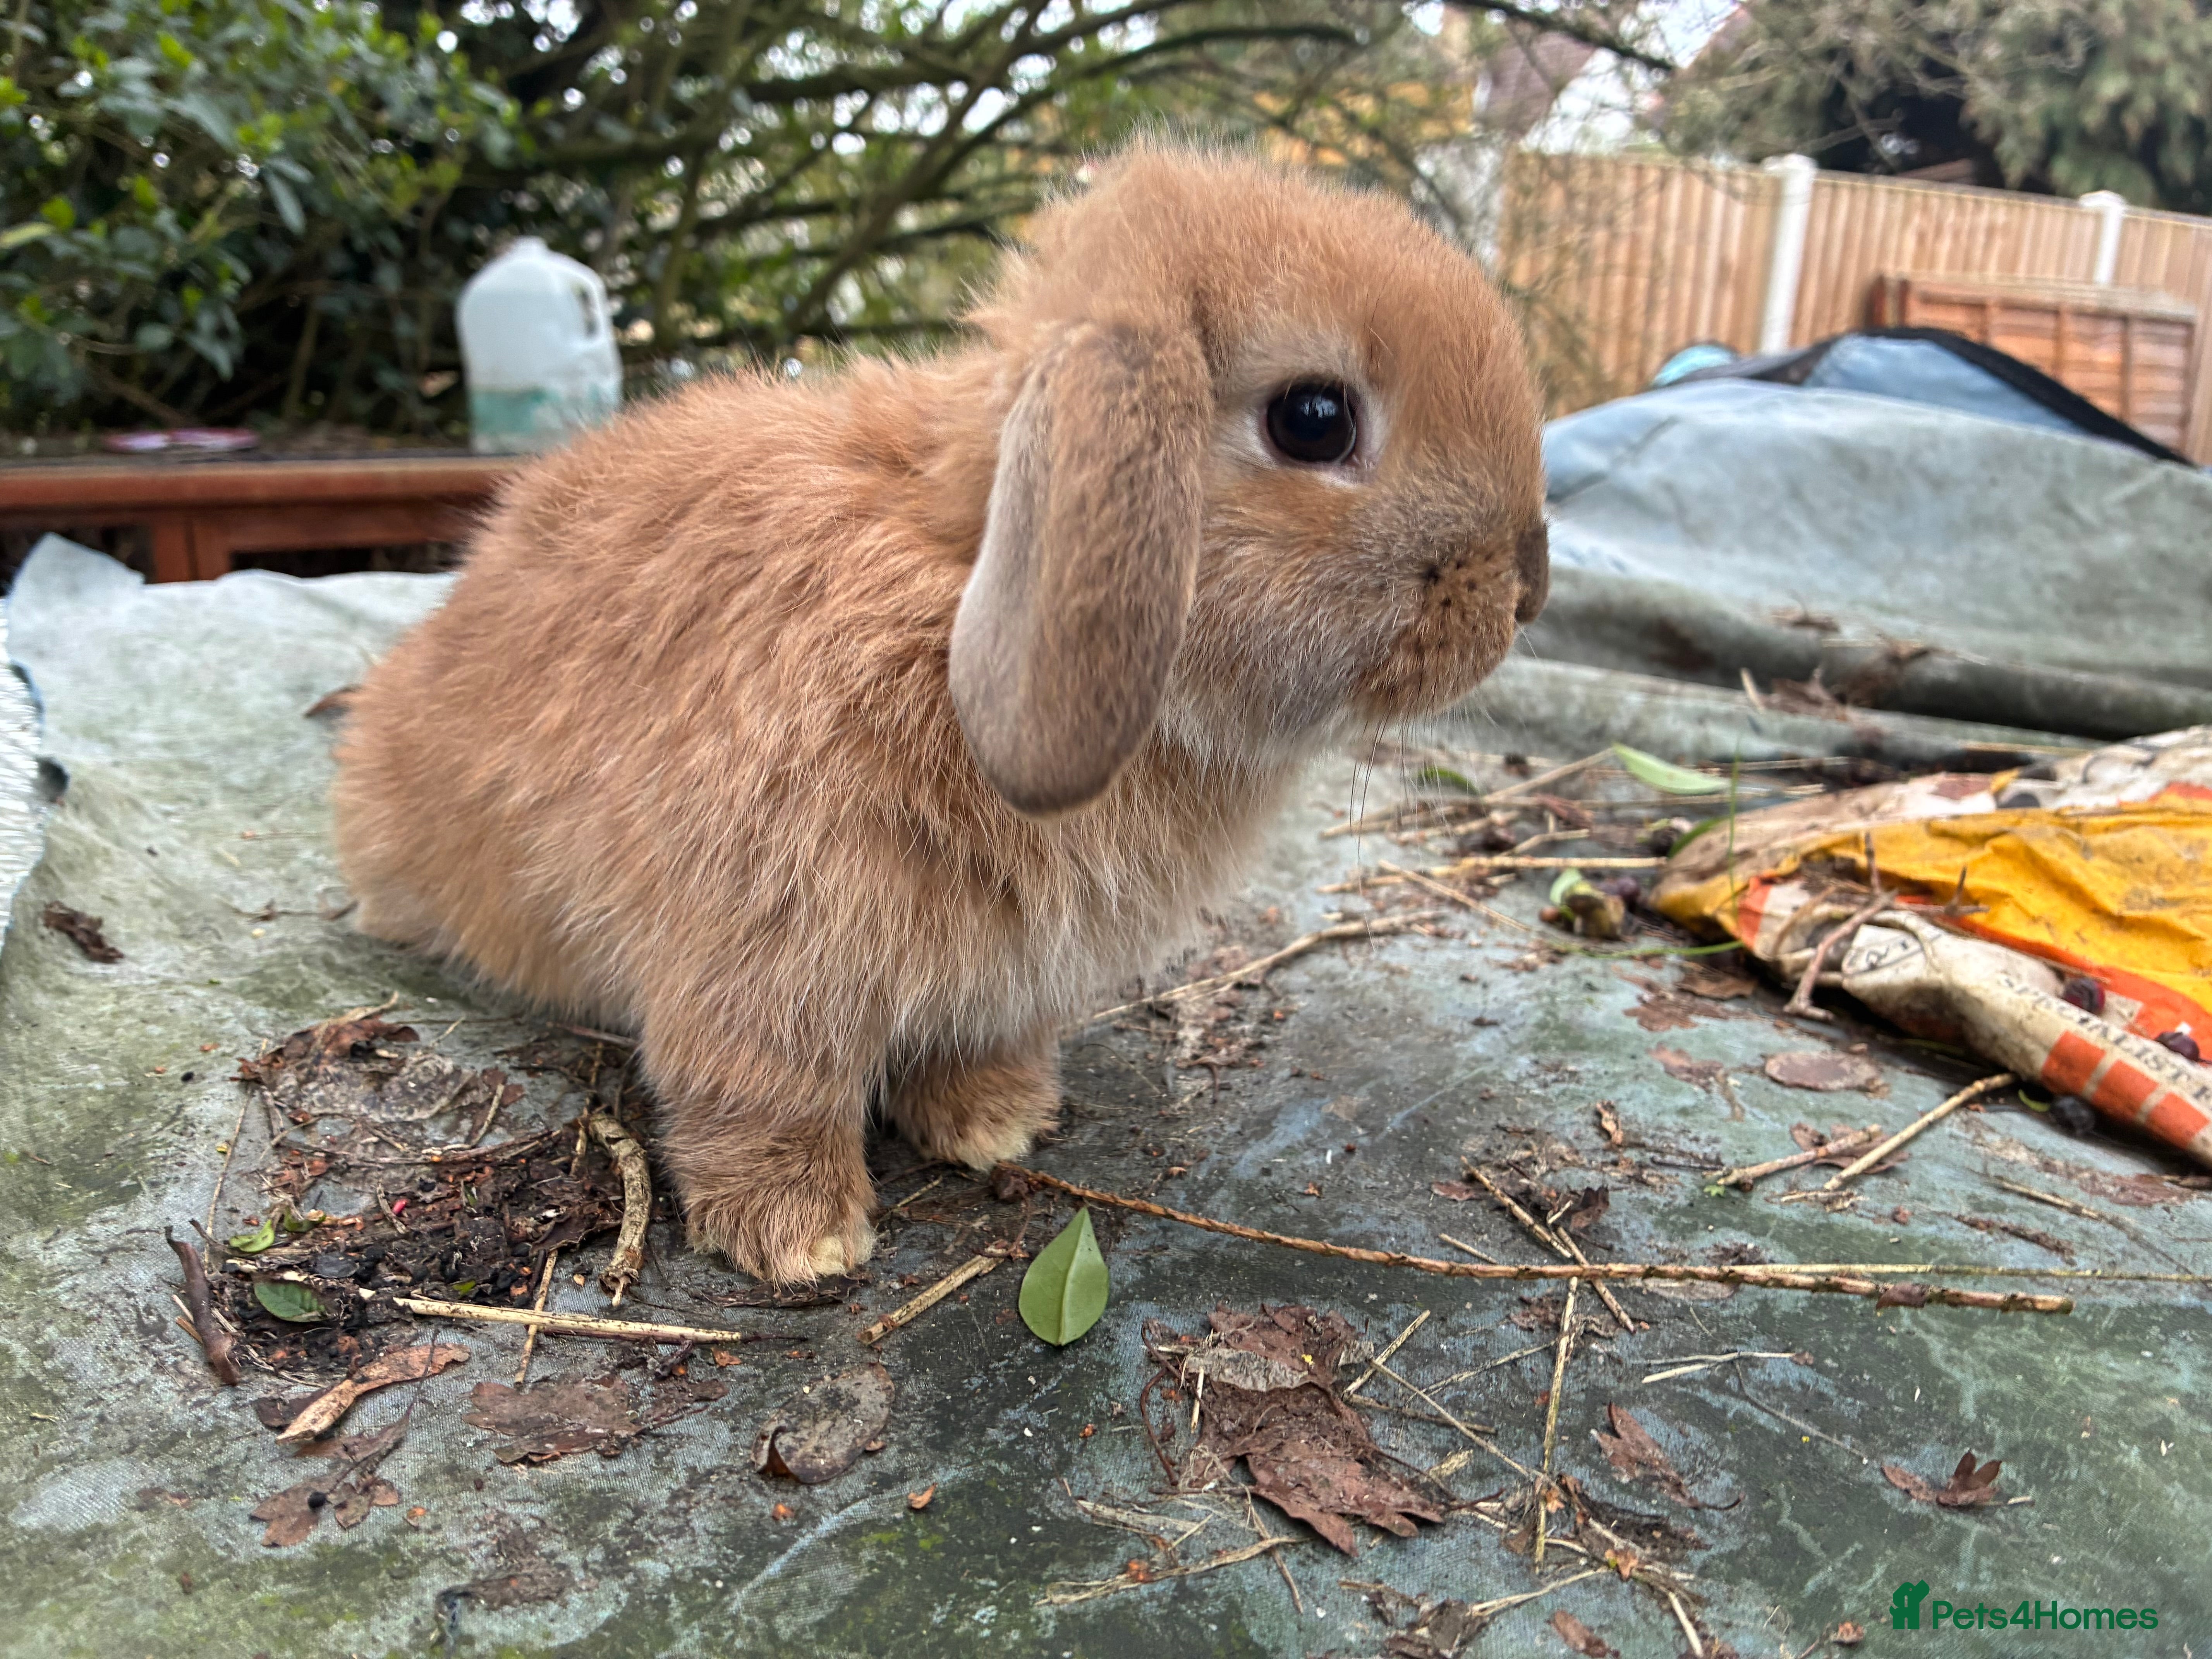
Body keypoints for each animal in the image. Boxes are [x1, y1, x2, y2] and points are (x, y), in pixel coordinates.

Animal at [330, 144, 1549, 1285]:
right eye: (1314, 418)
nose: (1527, 589)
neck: (960, 577)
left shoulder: (993, 981)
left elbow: (969, 1050)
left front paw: (996, 1124)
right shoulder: (758, 955)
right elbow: (763, 1093)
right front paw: (802, 1236)